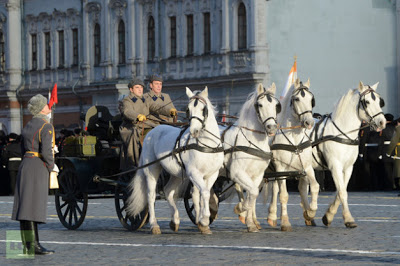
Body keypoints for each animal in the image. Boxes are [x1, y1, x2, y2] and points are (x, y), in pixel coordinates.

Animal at [126, 86, 225, 234]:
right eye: (188, 109)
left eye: (204, 109)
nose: (194, 131)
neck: (207, 145)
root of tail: (152, 131)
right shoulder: (194, 173)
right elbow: (205, 193)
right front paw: (204, 220)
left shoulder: (212, 175)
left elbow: (203, 195)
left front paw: (203, 222)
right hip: (152, 169)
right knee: (151, 195)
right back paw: (154, 225)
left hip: (176, 174)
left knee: (168, 191)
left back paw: (175, 221)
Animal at [191, 83, 282, 233]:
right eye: (260, 105)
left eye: (276, 105)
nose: (271, 127)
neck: (251, 142)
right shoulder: (237, 173)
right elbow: (252, 193)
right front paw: (240, 209)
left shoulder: (257, 176)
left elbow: (252, 195)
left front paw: (250, 222)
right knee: (196, 194)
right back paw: (201, 220)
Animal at [266, 78, 318, 231]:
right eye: (297, 99)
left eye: (311, 99)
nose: (309, 122)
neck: (294, 141)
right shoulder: (281, 168)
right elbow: (284, 195)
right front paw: (285, 222)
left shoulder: (307, 167)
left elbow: (315, 186)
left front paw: (310, 212)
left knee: (274, 188)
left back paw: (272, 216)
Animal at [308, 81, 386, 229]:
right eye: (367, 102)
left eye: (379, 101)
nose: (382, 122)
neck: (342, 133)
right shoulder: (335, 166)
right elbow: (342, 192)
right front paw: (349, 219)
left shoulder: (348, 167)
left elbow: (341, 190)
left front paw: (328, 216)